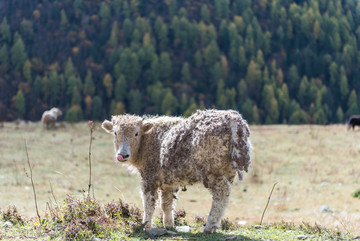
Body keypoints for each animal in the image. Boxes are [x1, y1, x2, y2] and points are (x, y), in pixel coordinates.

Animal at [102, 109, 250, 233]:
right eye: (115, 133)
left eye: (136, 133)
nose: (123, 155)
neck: (148, 141)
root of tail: (232, 119)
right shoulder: (169, 182)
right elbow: (166, 204)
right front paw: (169, 225)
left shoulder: (149, 177)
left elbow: (149, 203)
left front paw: (145, 225)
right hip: (227, 170)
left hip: (212, 172)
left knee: (221, 192)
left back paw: (209, 227)